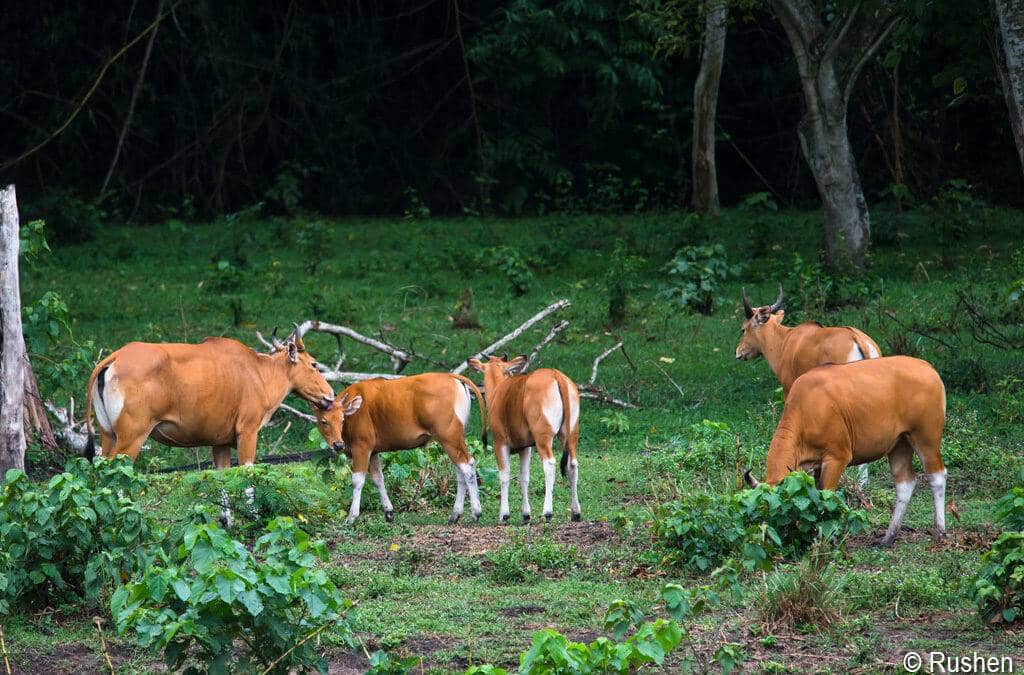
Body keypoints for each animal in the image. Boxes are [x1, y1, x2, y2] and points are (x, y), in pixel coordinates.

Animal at [84, 329, 331, 467]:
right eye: (314, 364)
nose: (329, 395)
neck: (259, 372)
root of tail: (115, 358)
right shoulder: (247, 432)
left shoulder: (219, 444)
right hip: (131, 438)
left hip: (108, 435)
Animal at [313, 372, 485, 524]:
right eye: (324, 421)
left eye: (342, 419)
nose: (338, 444)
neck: (354, 412)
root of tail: (452, 377)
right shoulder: (373, 452)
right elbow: (378, 479)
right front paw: (388, 512)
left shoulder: (361, 447)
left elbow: (357, 481)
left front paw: (352, 517)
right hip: (454, 439)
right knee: (459, 471)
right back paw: (455, 515)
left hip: (449, 437)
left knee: (468, 466)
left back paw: (476, 513)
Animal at [468, 356, 581, 524]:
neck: (499, 391)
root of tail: (556, 375)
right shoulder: (525, 448)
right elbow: (524, 477)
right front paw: (526, 514)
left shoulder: (500, 443)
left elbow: (504, 475)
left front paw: (504, 514)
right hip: (571, 435)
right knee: (572, 465)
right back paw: (576, 512)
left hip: (543, 437)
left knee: (549, 464)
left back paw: (548, 512)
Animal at [741, 356, 946, 544]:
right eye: (762, 511)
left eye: (780, 509)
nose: (769, 537)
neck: (806, 409)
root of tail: (928, 368)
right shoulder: (815, 465)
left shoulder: (837, 458)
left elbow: (826, 497)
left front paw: (826, 537)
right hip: (899, 443)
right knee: (905, 483)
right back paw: (888, 536)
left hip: (926, 438)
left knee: (937, 476)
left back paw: (940, 530)